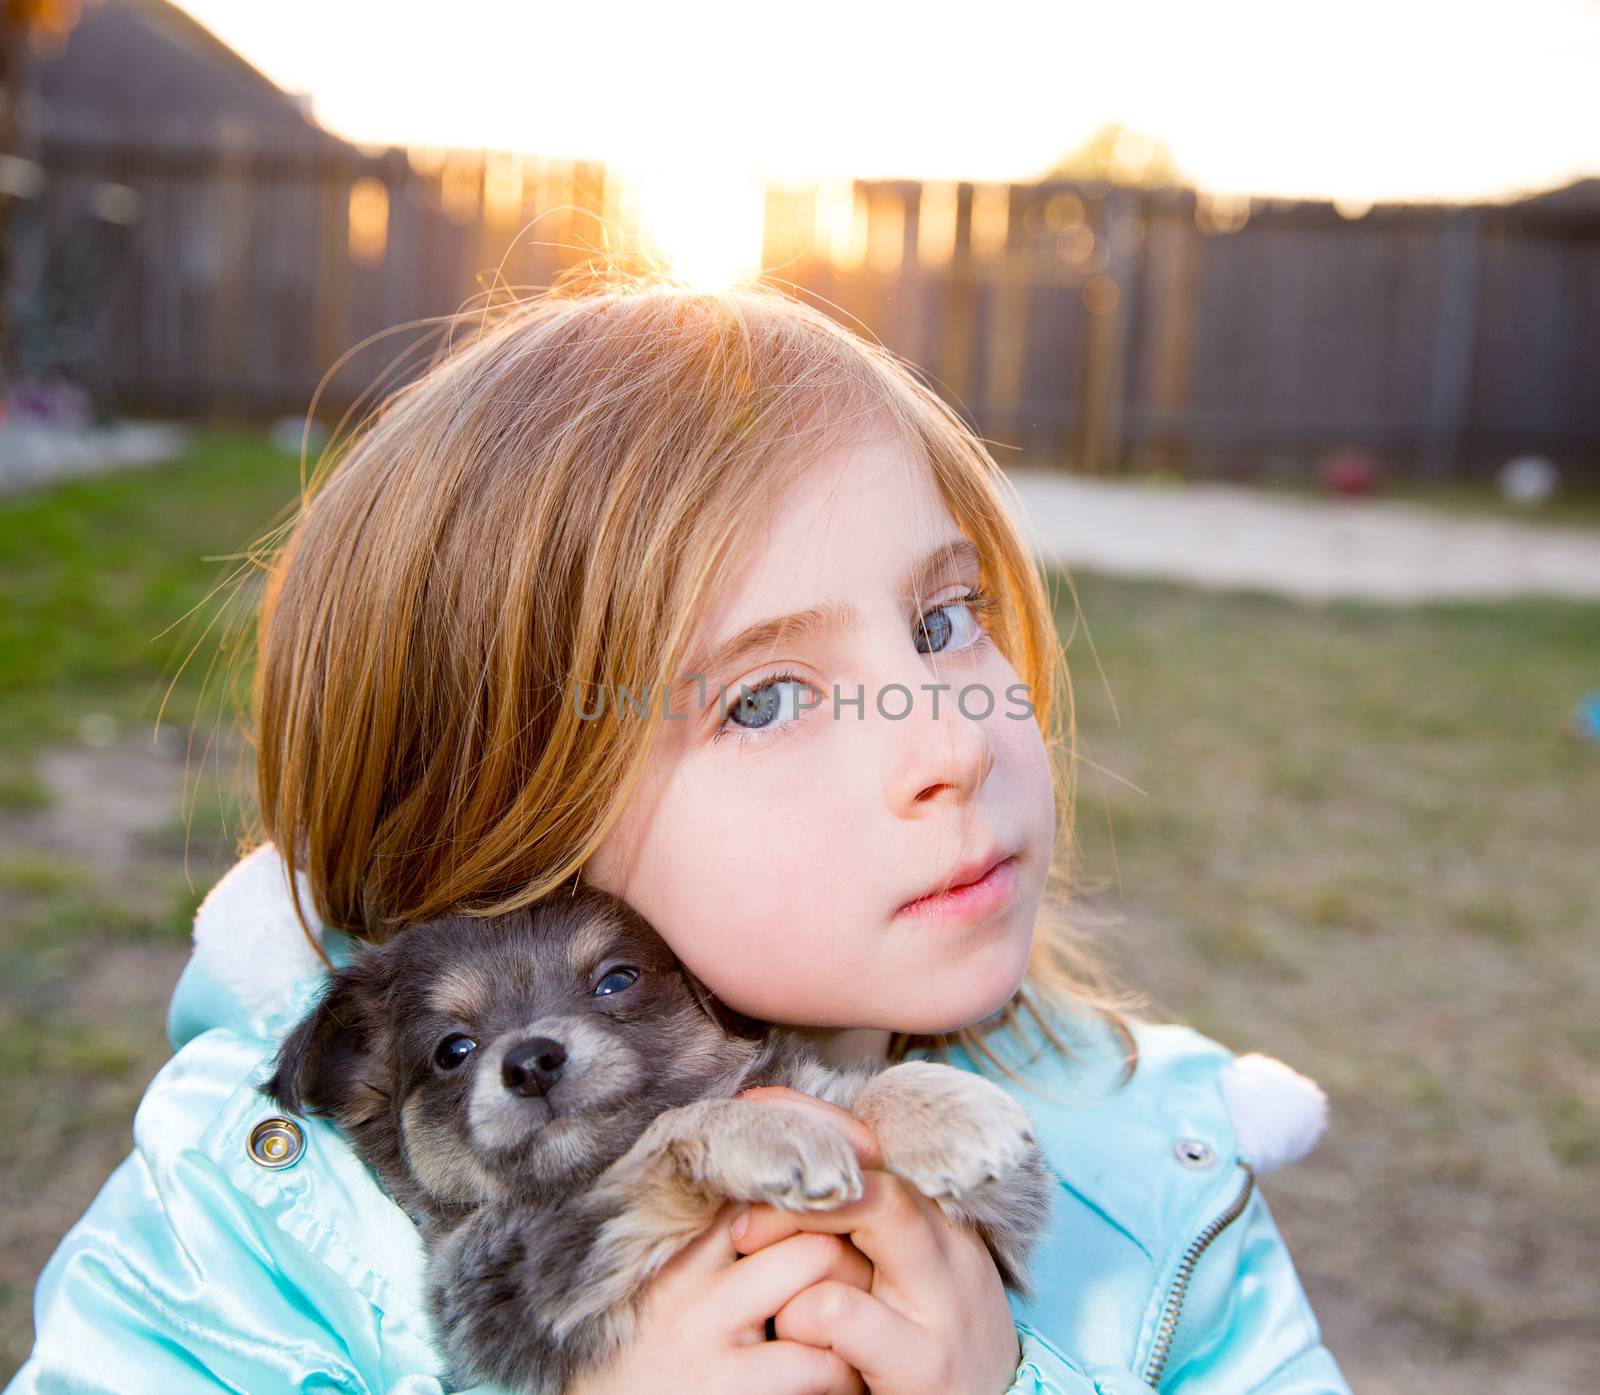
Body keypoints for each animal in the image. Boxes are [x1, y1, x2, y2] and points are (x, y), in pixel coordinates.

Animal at [262, 883, 1056, 1395]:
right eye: (453, 1051)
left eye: (616, 981)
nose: (531, 1061)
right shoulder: (522, 1277)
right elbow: (678, 1124)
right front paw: (769, 1130)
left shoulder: (1003, 1224)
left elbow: (852, 1092)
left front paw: (950, 1112)